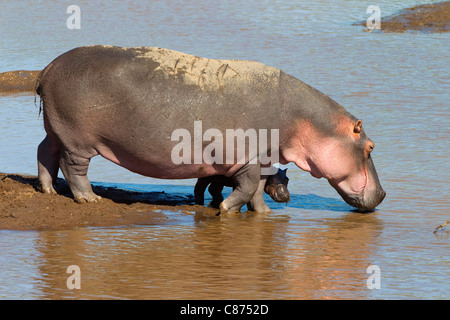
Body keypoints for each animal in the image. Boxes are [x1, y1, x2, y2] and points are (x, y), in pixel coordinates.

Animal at [37, 45, 384, 212]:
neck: (306, 120)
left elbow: (258, 189)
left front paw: (263, 215)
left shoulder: (264, 158)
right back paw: (89, 200)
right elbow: (247, 187)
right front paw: (227, 210)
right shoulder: (248, 157)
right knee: (73, 167)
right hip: (78, 140)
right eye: (370, 147)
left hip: (56, 129)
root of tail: (48, 67)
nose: (382, 194)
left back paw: (48, 190)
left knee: (45, 152)